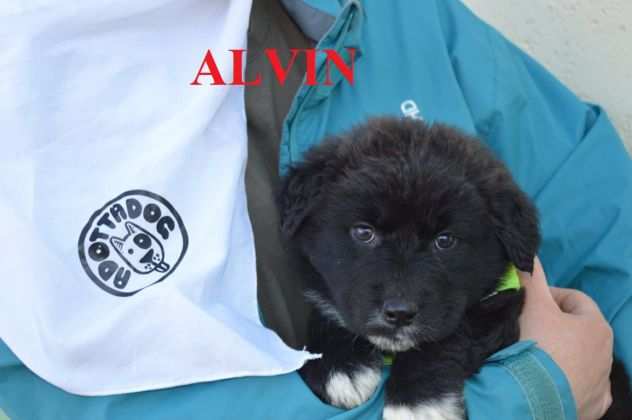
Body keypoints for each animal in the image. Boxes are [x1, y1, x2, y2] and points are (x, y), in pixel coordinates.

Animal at [278, 116, 628, 418]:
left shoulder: (498, 305)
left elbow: (451, 335)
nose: (399, 314)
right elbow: (327, 313)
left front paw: (416, 403)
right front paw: (339, 367)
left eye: (445, 241)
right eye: (364, 232)